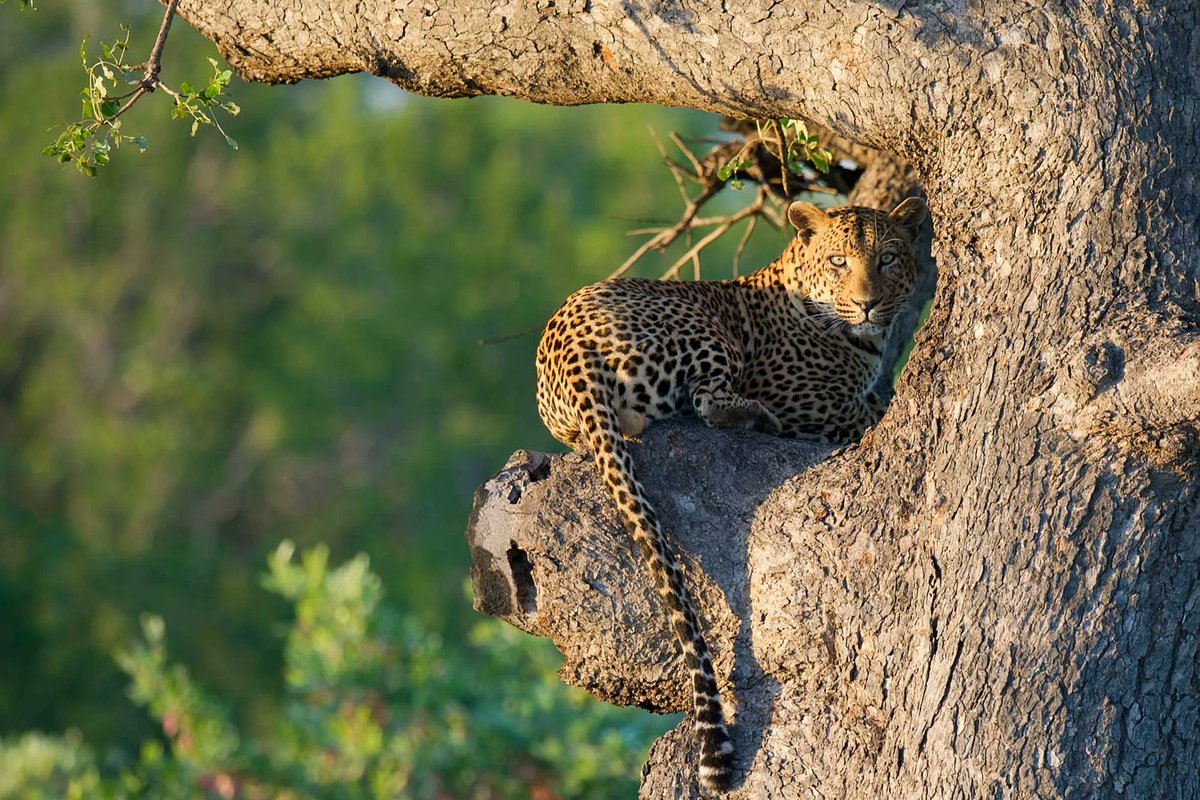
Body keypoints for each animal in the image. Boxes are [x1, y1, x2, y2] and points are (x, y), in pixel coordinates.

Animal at [534, 197, 928, 794]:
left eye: (887, 258)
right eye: (838, 261)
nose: (867, 303)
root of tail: (569, 341)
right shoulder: (817, 406)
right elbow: (875, 409)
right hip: (703, 329)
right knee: (708, 402)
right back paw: (752, 415)